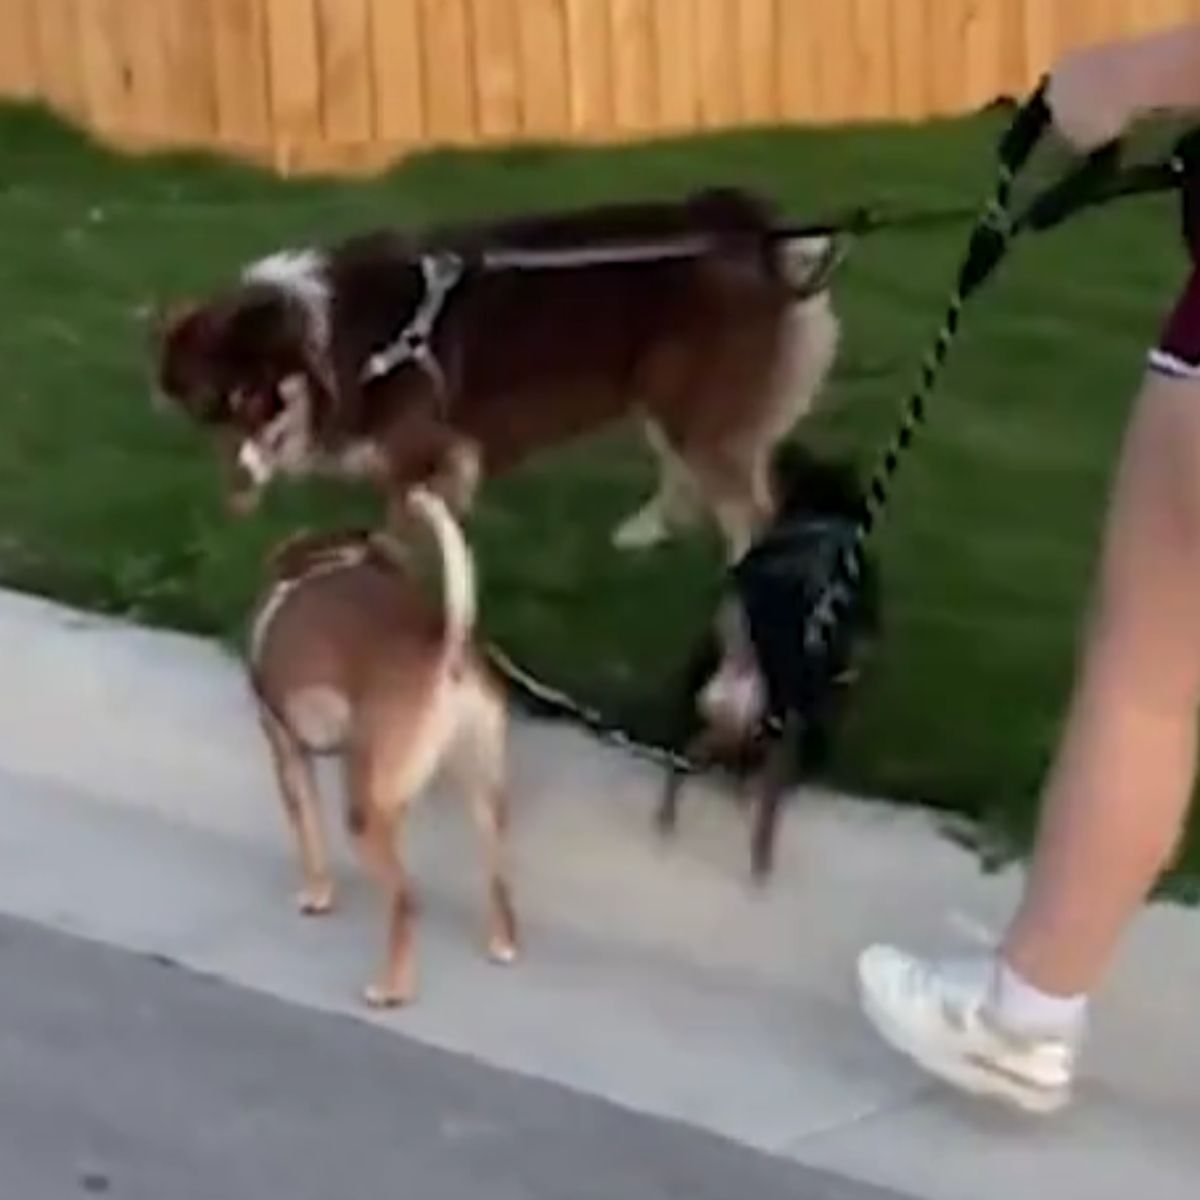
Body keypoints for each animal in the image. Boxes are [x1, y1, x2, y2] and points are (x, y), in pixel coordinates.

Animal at [154, 187, 840, 561]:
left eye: (250, 396)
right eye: (209, 410)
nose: (236, 490)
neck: (337, 341)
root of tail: (742, 216)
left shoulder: (431, 452)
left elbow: (399, 531)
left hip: (693, 402)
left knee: (748, 509)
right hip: (663, 391)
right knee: (688, 468)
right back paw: (645, 531)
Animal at [248, 484, 516, 1003]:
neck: (335, 559)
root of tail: (446, 649)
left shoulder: (287, 751)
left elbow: (308, 834)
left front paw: (317, 895)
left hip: (362, 810)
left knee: (406, 899)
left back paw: (391, 987)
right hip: (482, 791)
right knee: (495, 872)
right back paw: (503, 943)